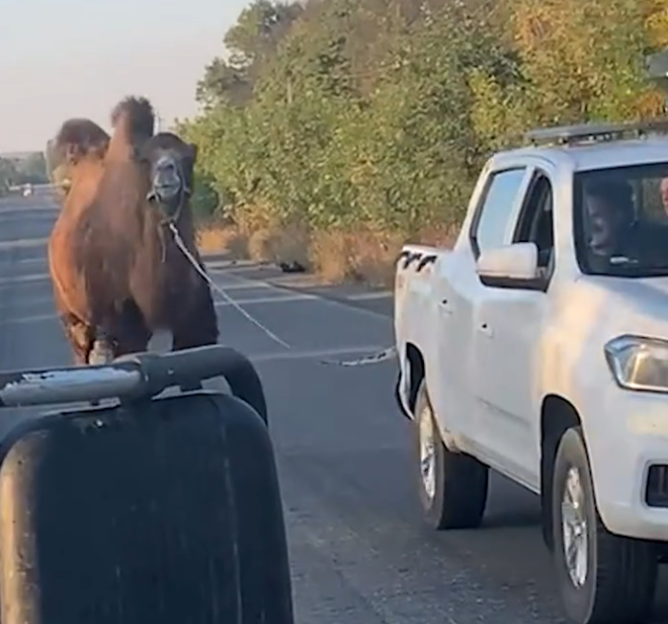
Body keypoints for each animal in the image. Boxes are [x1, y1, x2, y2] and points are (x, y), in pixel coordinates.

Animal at [48, 96, 219, 366]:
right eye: (146, 159)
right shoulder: (123, 323)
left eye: (186, 158)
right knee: (81, 347)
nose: (166, 170)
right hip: (72, 313)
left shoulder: (195, 323)